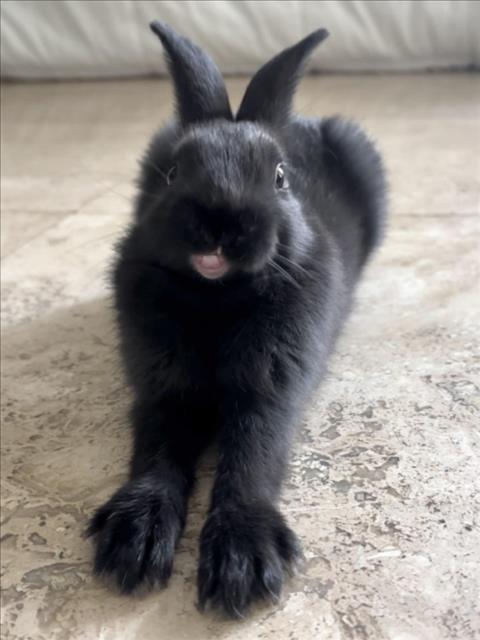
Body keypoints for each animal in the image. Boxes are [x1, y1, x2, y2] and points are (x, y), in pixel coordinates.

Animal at [88, 21, 387, 618]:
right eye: (172, 171)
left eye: (279, 177)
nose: (219, 222)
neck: (217, 298)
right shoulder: (165, 388)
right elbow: (157, 446)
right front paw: (134, 542)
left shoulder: (269, 388)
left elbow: (254, 448)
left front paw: (243, 562)